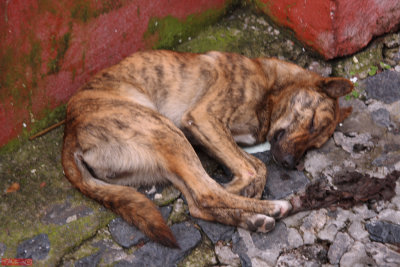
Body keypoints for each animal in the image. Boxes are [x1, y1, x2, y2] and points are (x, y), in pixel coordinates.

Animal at [61, 49, 352, 247]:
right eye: (312, 123)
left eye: (314, 145)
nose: (290, 163)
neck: (271, 84)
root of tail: (70, 134)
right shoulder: (203, 119)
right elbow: (254, 169)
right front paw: (243, 191)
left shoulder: (210, 133)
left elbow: (257, 168)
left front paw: (244, 194)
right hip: (166, 131)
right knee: (205, 192)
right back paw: (271, 208)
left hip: (167, 155)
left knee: (196, 203)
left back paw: (252, 219)